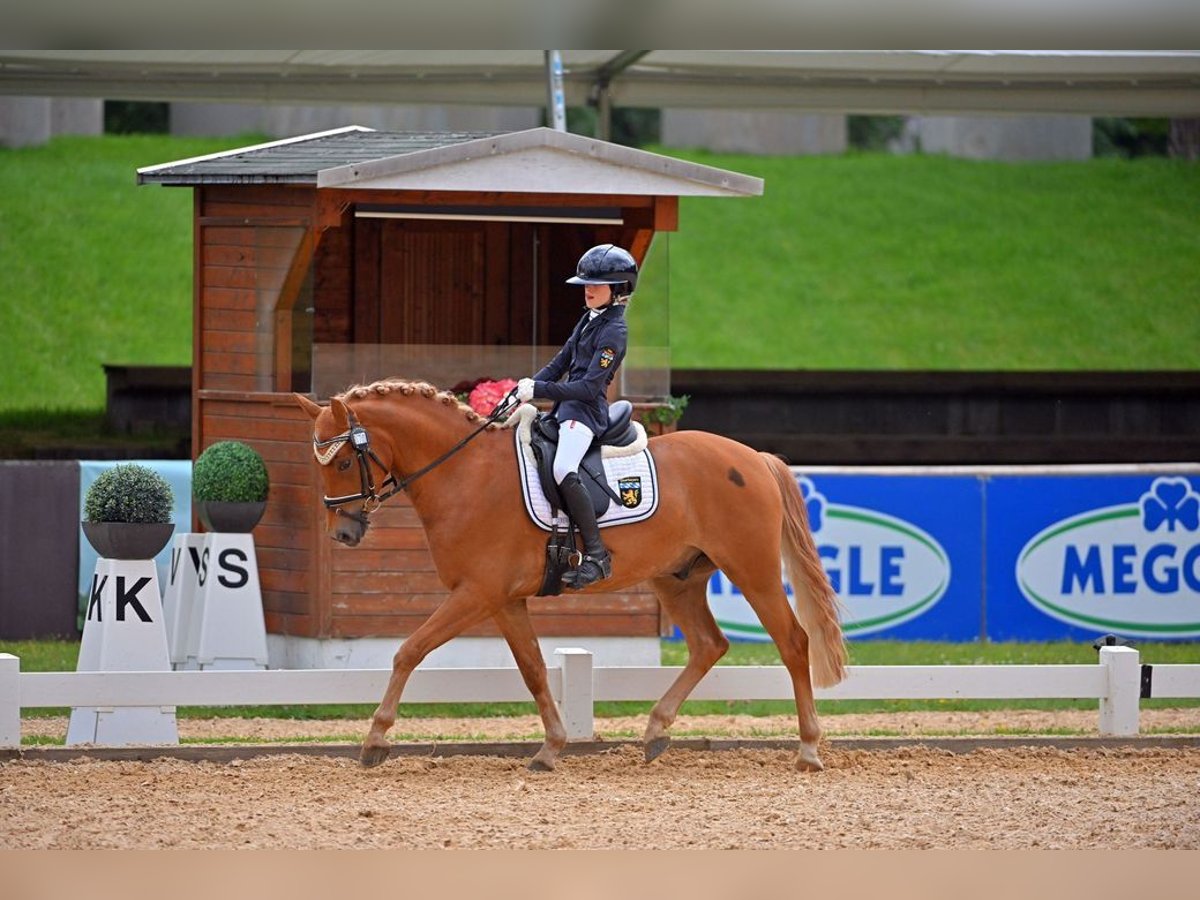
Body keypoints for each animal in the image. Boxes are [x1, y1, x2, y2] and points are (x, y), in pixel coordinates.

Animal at [295, 381, 849, 777]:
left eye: (342, 461)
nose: (343, 533)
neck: (465, 474)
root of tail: (753, 457)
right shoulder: (503, 601)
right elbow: (535, 670)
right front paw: (550, 749)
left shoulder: (475, 594)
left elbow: (408, 650)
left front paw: (375, 740)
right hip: (677, 579)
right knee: (709, 645)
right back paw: (655, 732)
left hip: (752, 571)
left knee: (794, 643)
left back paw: (808, 750)